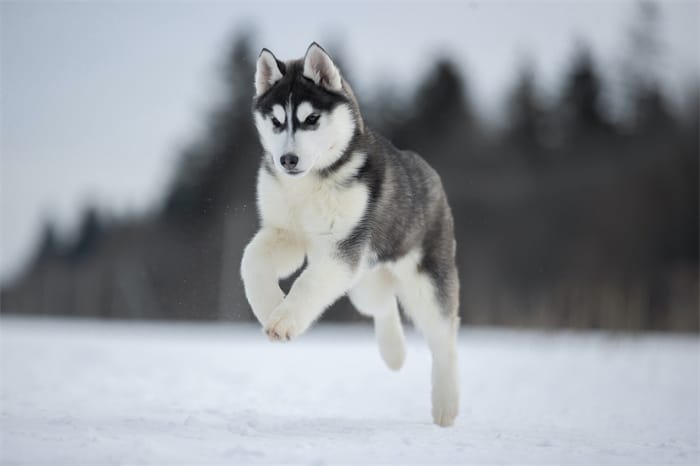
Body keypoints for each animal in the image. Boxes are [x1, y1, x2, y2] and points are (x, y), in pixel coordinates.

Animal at [239, 43, 460, 426]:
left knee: (444, 337)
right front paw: (269, 306)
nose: (287, 160)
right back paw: (394, 353)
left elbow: (309, 283)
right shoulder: (286, 232)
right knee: (383, 305)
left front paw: (283, 321)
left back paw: (446, 406)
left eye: (312, 119)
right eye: (277, 122)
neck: (310, 183)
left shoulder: (344, 246)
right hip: (364, 281)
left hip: (424, 280)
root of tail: (430, 173)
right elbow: (251, 260)